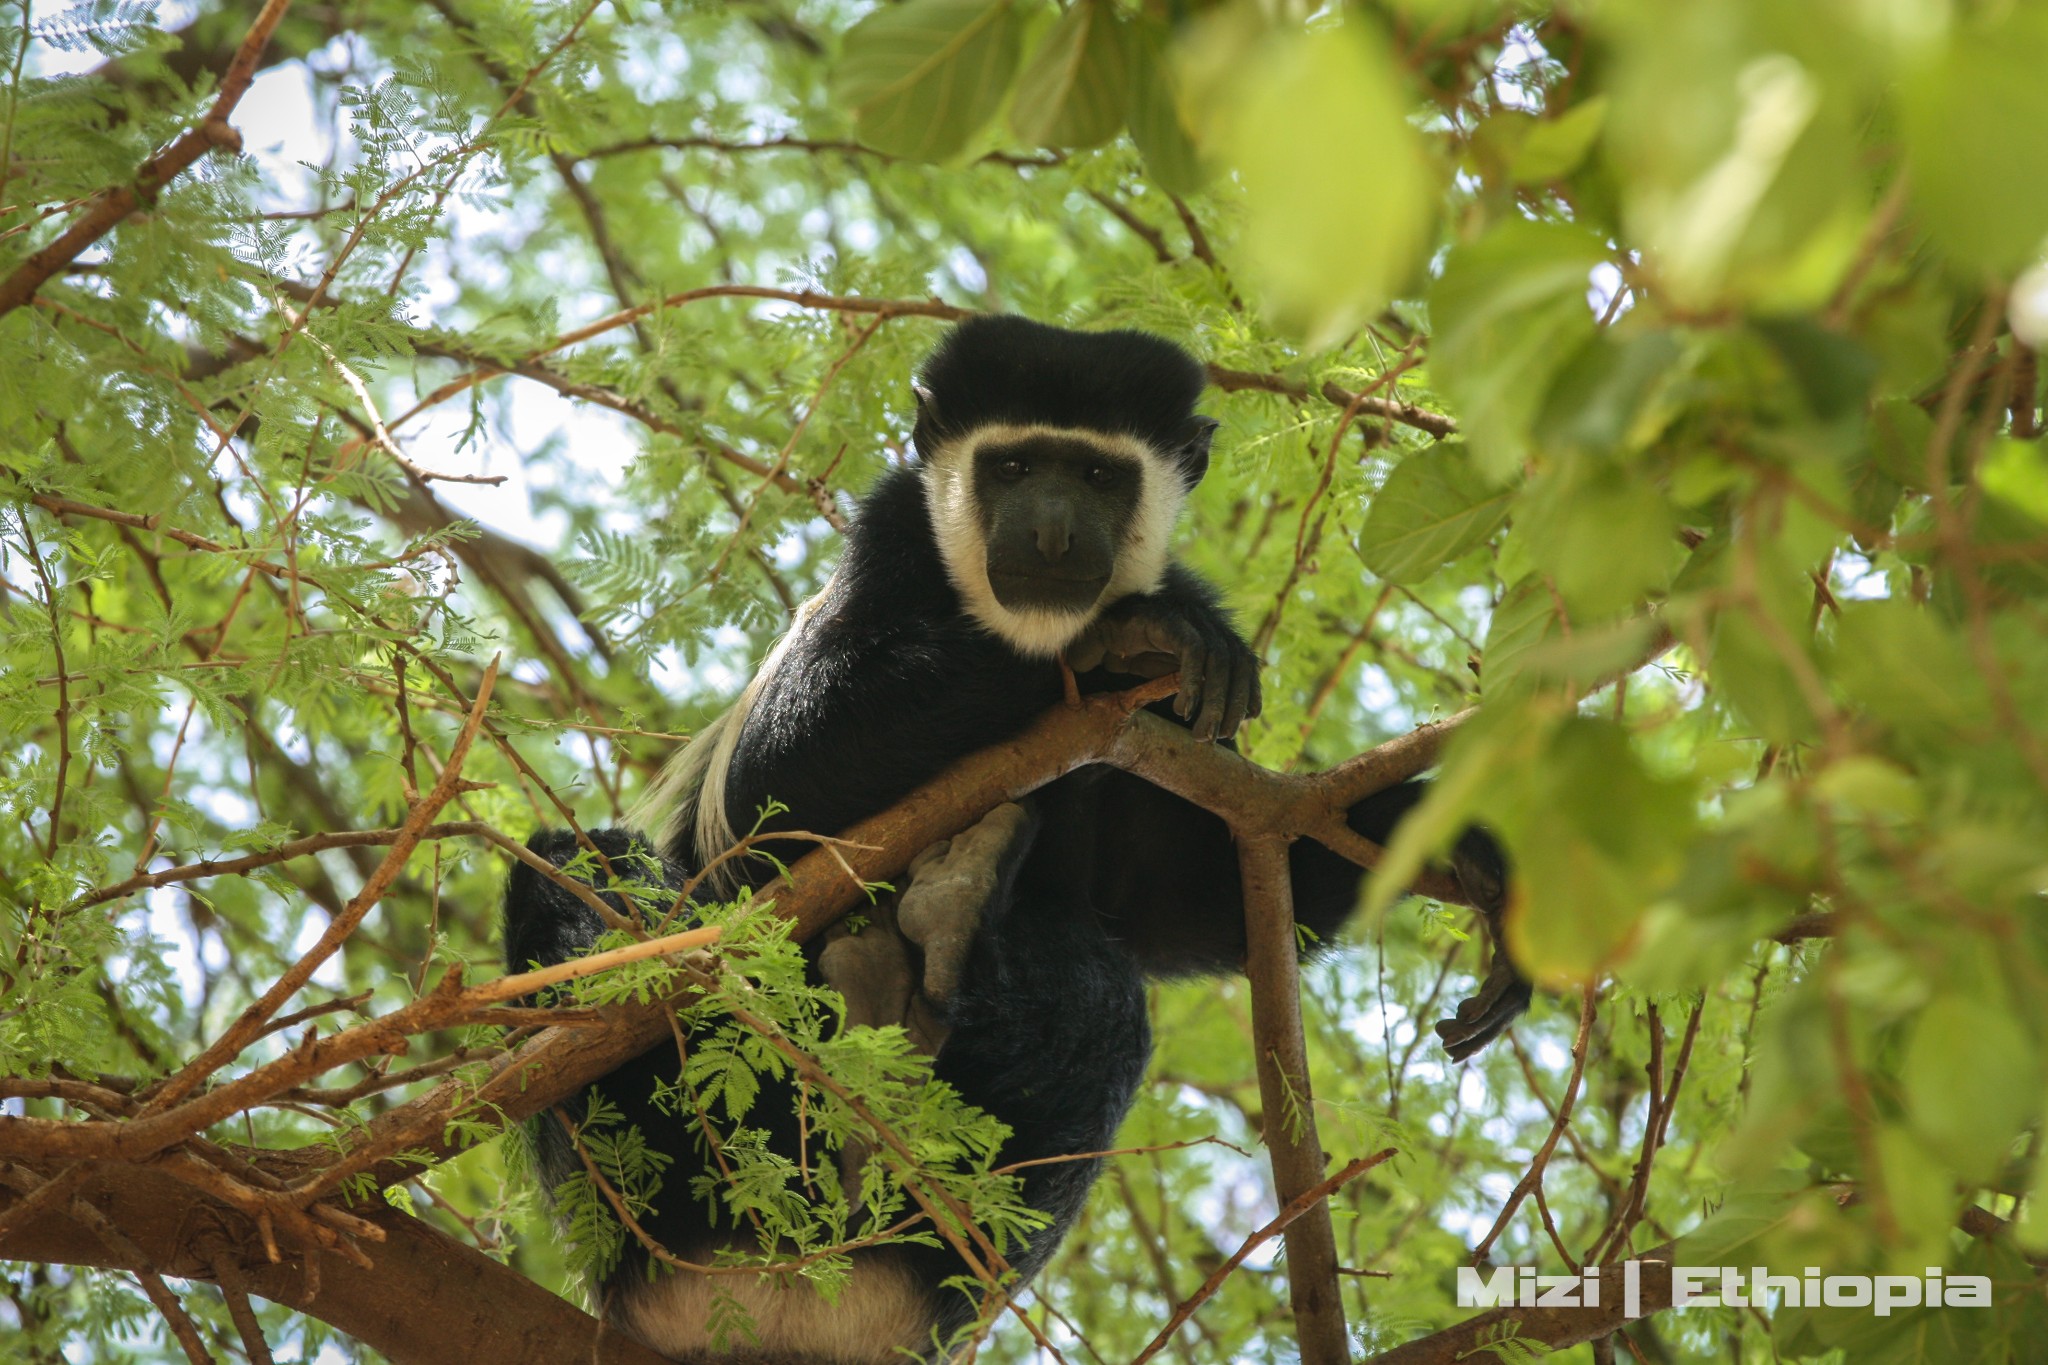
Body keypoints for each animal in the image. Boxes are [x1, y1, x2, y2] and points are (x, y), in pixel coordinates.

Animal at [503, 317, 1531, 1358]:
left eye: (1098, 475)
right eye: (1013, 465)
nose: (1048, 531)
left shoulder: (1175, 733)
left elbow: (1196, 901)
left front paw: (1480, 852)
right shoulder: (891, 535)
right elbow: (778, 781)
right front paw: (1126, 634)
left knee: (1093, 984)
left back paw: (934, 947)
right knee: (579, 870)